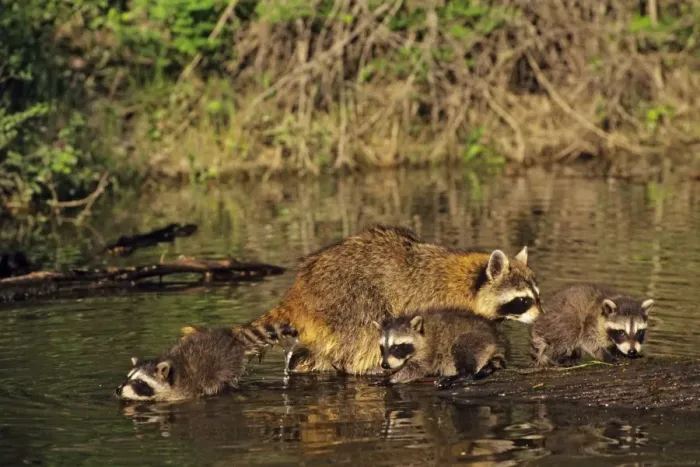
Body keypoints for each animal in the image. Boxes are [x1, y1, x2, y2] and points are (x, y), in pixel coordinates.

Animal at [115, 323, 298, 402]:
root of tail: (232, 339)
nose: (118, 390)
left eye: (140, 382)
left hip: (224, 365)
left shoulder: (184, 391)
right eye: (128, 377)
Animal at [251, 225, 540, 375]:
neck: (470, 281)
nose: (541, 317)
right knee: (364, 332)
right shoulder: (440, 302)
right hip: (350, 299)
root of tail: (301, 289)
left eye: (537, 296)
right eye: (522, 301)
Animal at [373, 308, 509, 389]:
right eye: (382, 347)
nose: (384, 365)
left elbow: (416, 369)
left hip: (475, 339)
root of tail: (496, 339)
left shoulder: (428, 351)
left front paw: (390, 379)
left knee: (460, 347)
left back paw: (461, 376)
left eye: (396, 347)